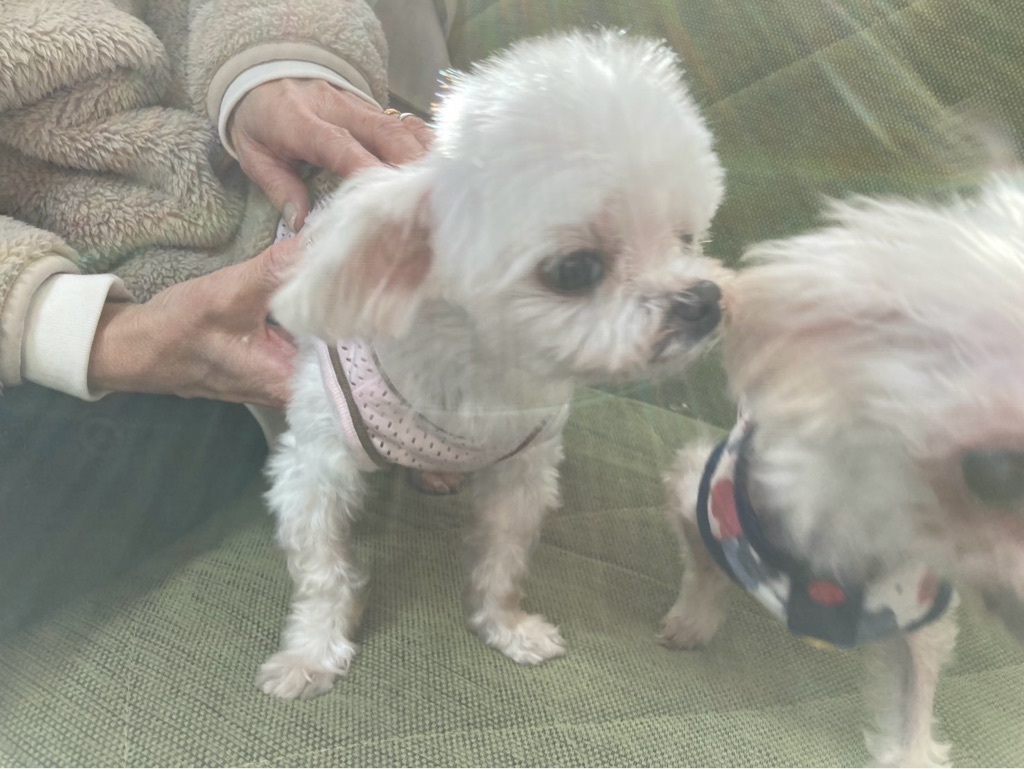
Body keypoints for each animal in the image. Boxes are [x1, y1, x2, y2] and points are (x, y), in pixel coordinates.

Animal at [258, 30, 729, 700]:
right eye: (575, 270)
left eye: (687, 238)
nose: (704, 302)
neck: (478, 371)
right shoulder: (313, 472)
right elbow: (323, 571)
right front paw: (311, 654)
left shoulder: (523, 471)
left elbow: (502, 558)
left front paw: (507, 627)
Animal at [661, 174, 1024, 766]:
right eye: (996, 475)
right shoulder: (699, 494)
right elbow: (705, 570)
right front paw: (693, 621)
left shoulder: (916, 615)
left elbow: (915, 709)